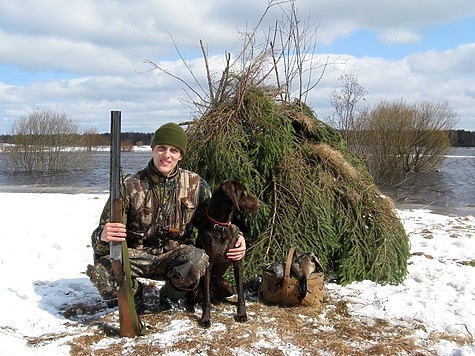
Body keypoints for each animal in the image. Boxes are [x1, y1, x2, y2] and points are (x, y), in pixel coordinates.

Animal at [187, 179, 260, 326]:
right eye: (244, 193)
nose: (259, 204)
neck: (221, 227)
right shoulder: (207, 266)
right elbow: (206, 301)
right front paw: (205, 319)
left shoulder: (237, 262)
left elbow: (241, 294)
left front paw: (242, 314)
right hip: (194, 288)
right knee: (199, 299)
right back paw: (192, 307)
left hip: (228, 286)